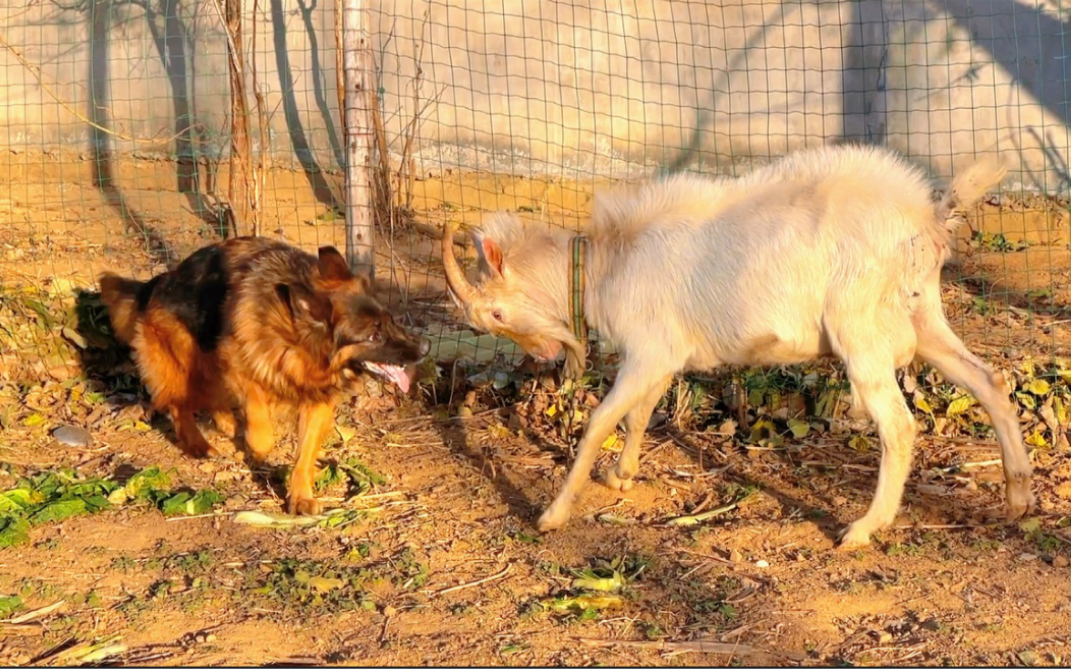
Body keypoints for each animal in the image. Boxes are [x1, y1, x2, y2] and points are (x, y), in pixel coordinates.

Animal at [98, 234, 428, 511]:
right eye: (374, 336)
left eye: (390, 322)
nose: (424, 349)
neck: (295, 338)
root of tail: (160, 281)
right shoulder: (237, 362)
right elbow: (261, 429)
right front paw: (257, 446)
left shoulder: (317, 398)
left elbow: (305, 453)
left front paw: (300, 495)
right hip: (190, 355)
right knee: (179, 403)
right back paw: (199, 444)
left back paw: (225, 423)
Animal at [439, 143, 1032, 545]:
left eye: (496, 312)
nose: (540, 357)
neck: (612, 260)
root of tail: (925, 218)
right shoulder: (661, 357)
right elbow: (640, 414)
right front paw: (623, 476)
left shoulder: (647, 352)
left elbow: (601, 422)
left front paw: (553, 513)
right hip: (921, 313)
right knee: (989, 380)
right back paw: (1019, 497)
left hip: (858, 326)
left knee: (900, 425)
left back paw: (863, 528)